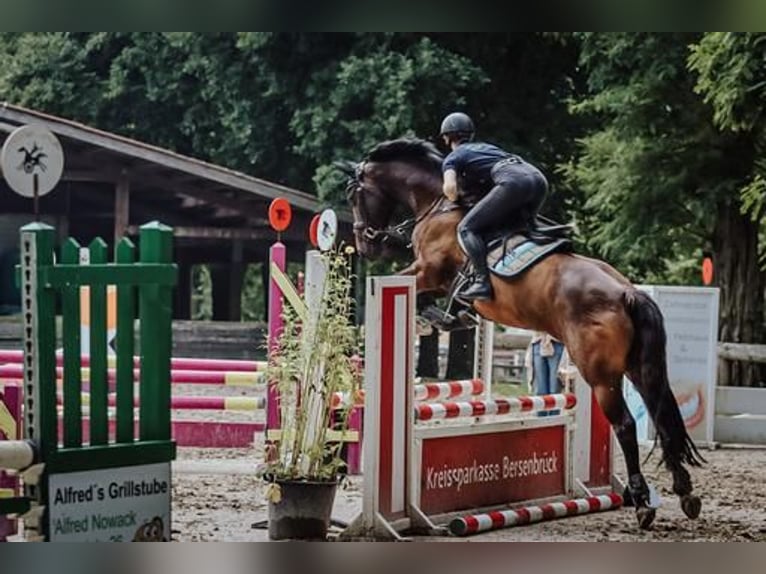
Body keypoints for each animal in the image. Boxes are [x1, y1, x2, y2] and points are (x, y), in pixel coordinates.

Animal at [348, 138, 708, 532]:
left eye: (355, 196)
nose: (366, 246)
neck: (438, 204)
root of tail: (628, 292)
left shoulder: (427, 270)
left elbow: (419, 288)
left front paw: (433, 319)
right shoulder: (432, 276)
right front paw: (450, 318)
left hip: (600, 375)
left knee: (626, 426)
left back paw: (643, 503)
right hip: (637, 368)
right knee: (662, 417)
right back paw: (685, 492)